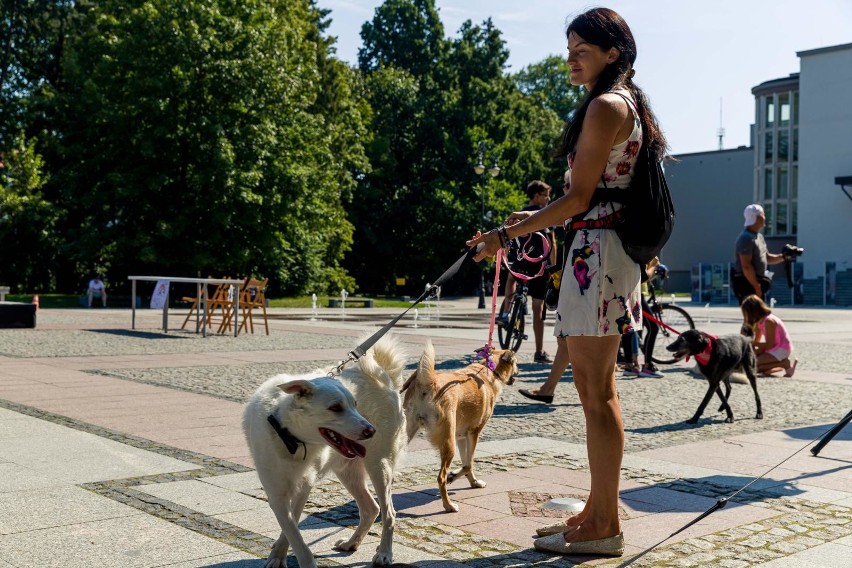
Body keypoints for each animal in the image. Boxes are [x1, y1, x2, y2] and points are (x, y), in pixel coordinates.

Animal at [243, 336, 410, 564]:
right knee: (371, 509)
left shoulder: (303, 487)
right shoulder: (277, 493)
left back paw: (384, 553)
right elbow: (291, 530)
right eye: (335, 408)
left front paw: (289, 557)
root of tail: (384, 376)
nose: (371, 431)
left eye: (355, 404)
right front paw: (277, 556)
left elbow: (295, 535)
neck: (291, 438)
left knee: (389, 514)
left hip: (379, 465)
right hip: (348, 471)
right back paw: (352, 543)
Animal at [402, 342, 516, 516]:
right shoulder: (474, 433)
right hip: (448, 444)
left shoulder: (461, 436)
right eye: (516, 362)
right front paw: (453, 476)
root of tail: (428, 382)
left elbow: (466, 462)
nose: (517, 372)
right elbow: (469, 463)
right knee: (440, 477)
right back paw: (448, 505)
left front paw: (473, 482)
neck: (488, 369)